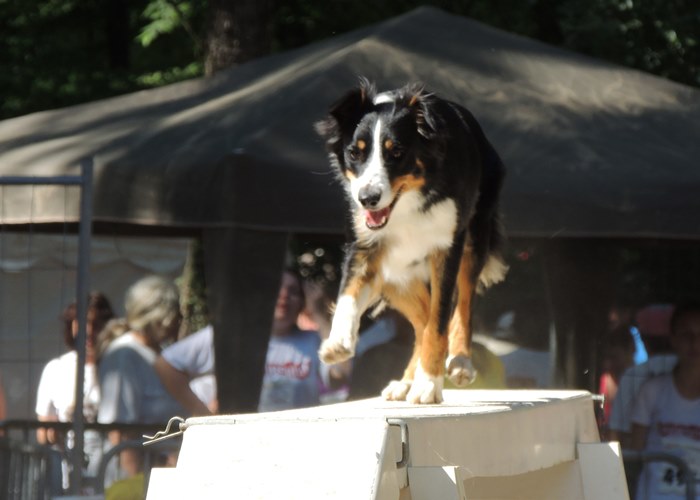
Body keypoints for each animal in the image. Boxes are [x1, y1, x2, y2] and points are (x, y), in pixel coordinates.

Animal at [314, 79, 506, 406]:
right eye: (354, 153)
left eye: (396, 152)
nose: (367, 198)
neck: (409, 201)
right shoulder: (365, 246)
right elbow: (348, 294)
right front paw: (338, 343)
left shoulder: (447, 247)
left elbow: (440, 319)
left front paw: (429, 384)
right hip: (397, 273)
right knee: (422, 319)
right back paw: (405, 382)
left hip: (475, 236)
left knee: (461, 303)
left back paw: (459, 362)